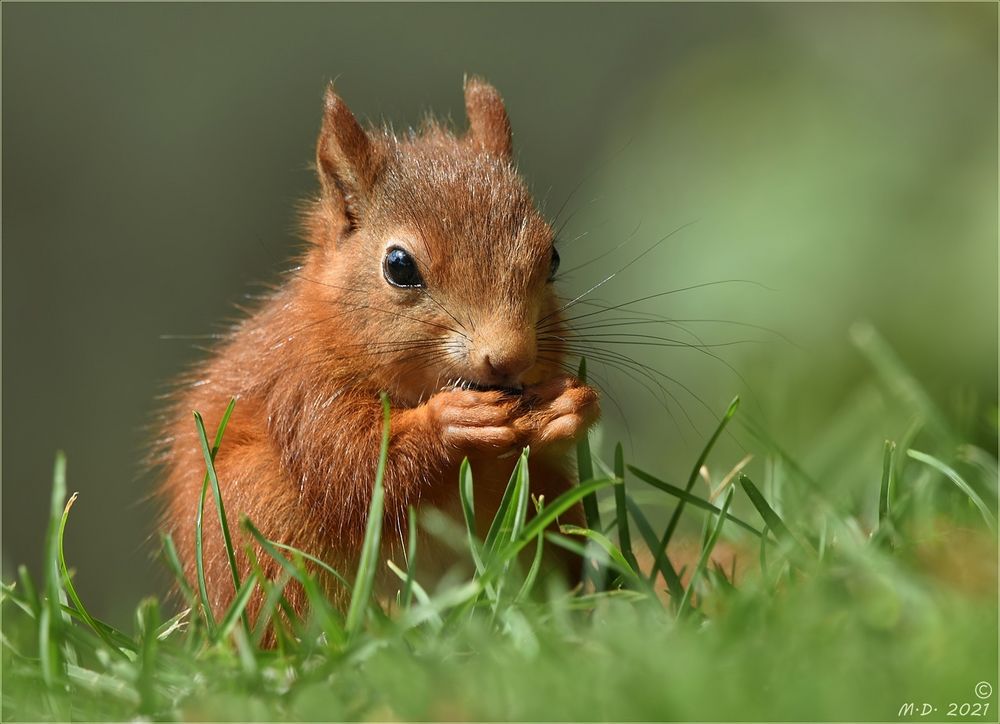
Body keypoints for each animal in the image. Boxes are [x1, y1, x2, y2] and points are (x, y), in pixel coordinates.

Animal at [152, 79, 596, 620]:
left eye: (552, 257)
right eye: (399, 266)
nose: (509, 358)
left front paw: (570, 407)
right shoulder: (300, 388)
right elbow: (350, 464)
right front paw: (449, 423)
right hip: (258, 519)